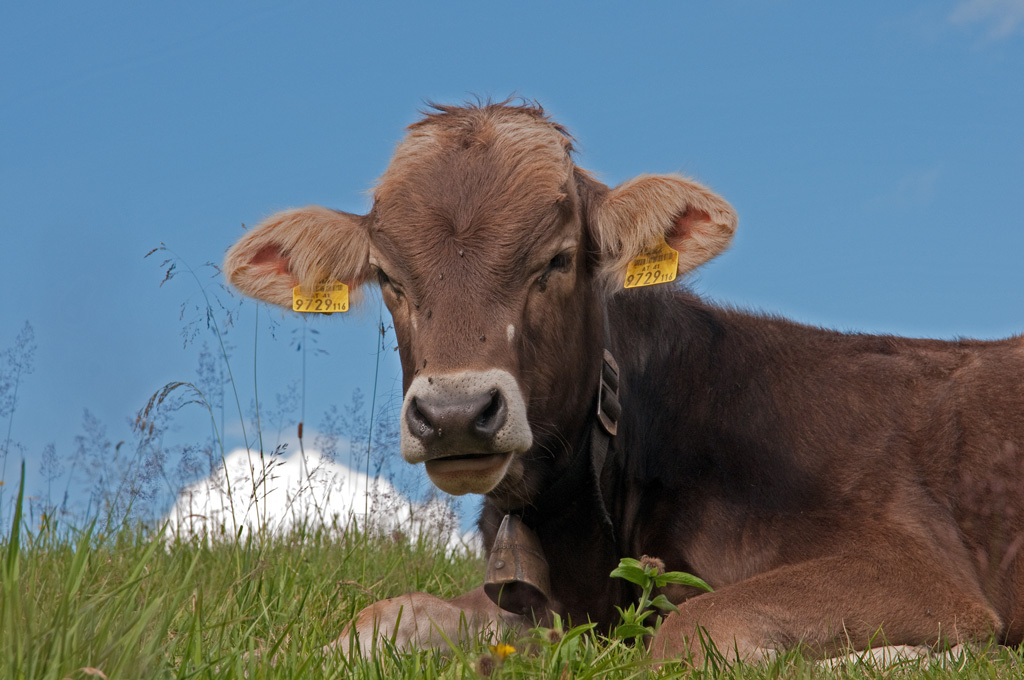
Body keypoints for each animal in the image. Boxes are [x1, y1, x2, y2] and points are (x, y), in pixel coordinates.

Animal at [223, 101, 1024, 664]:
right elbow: (385, 614)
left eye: (558, 258)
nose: (454, 413)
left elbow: (696, 630)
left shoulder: (918, 567)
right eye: (389, 276)